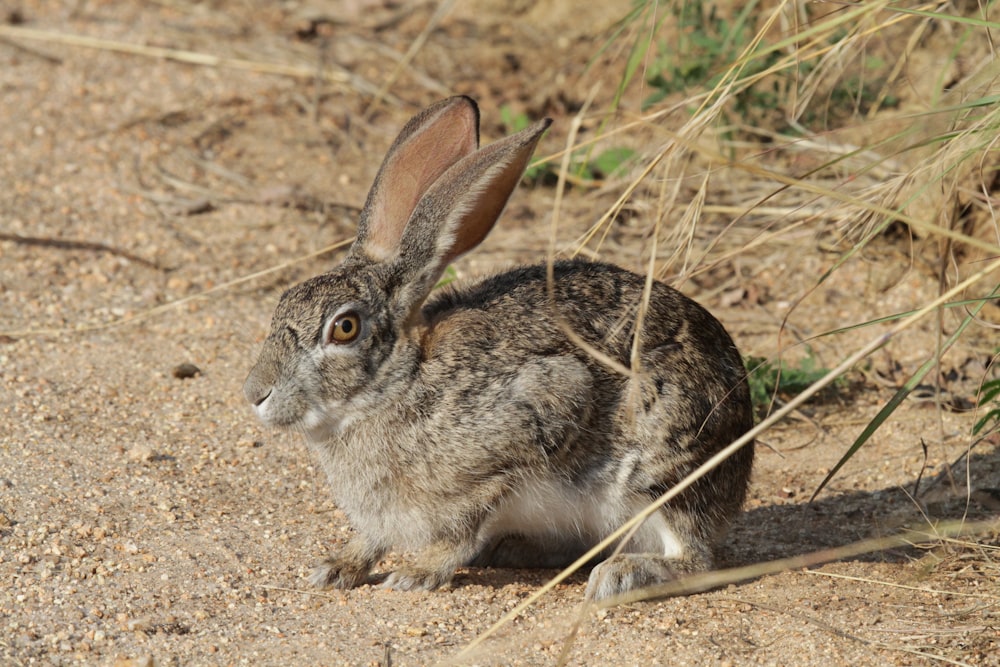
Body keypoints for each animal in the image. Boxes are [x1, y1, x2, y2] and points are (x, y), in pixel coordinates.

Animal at [244, 95, 752, 600]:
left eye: (345, 328)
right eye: (284, 300)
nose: (255, 394)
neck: (398, 381)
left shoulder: (526, 430)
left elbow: (466, 525)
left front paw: (417, 573)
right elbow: (373, 539)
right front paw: (336, 567)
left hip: (661, 469)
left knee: (695, 559)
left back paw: (620, 574)